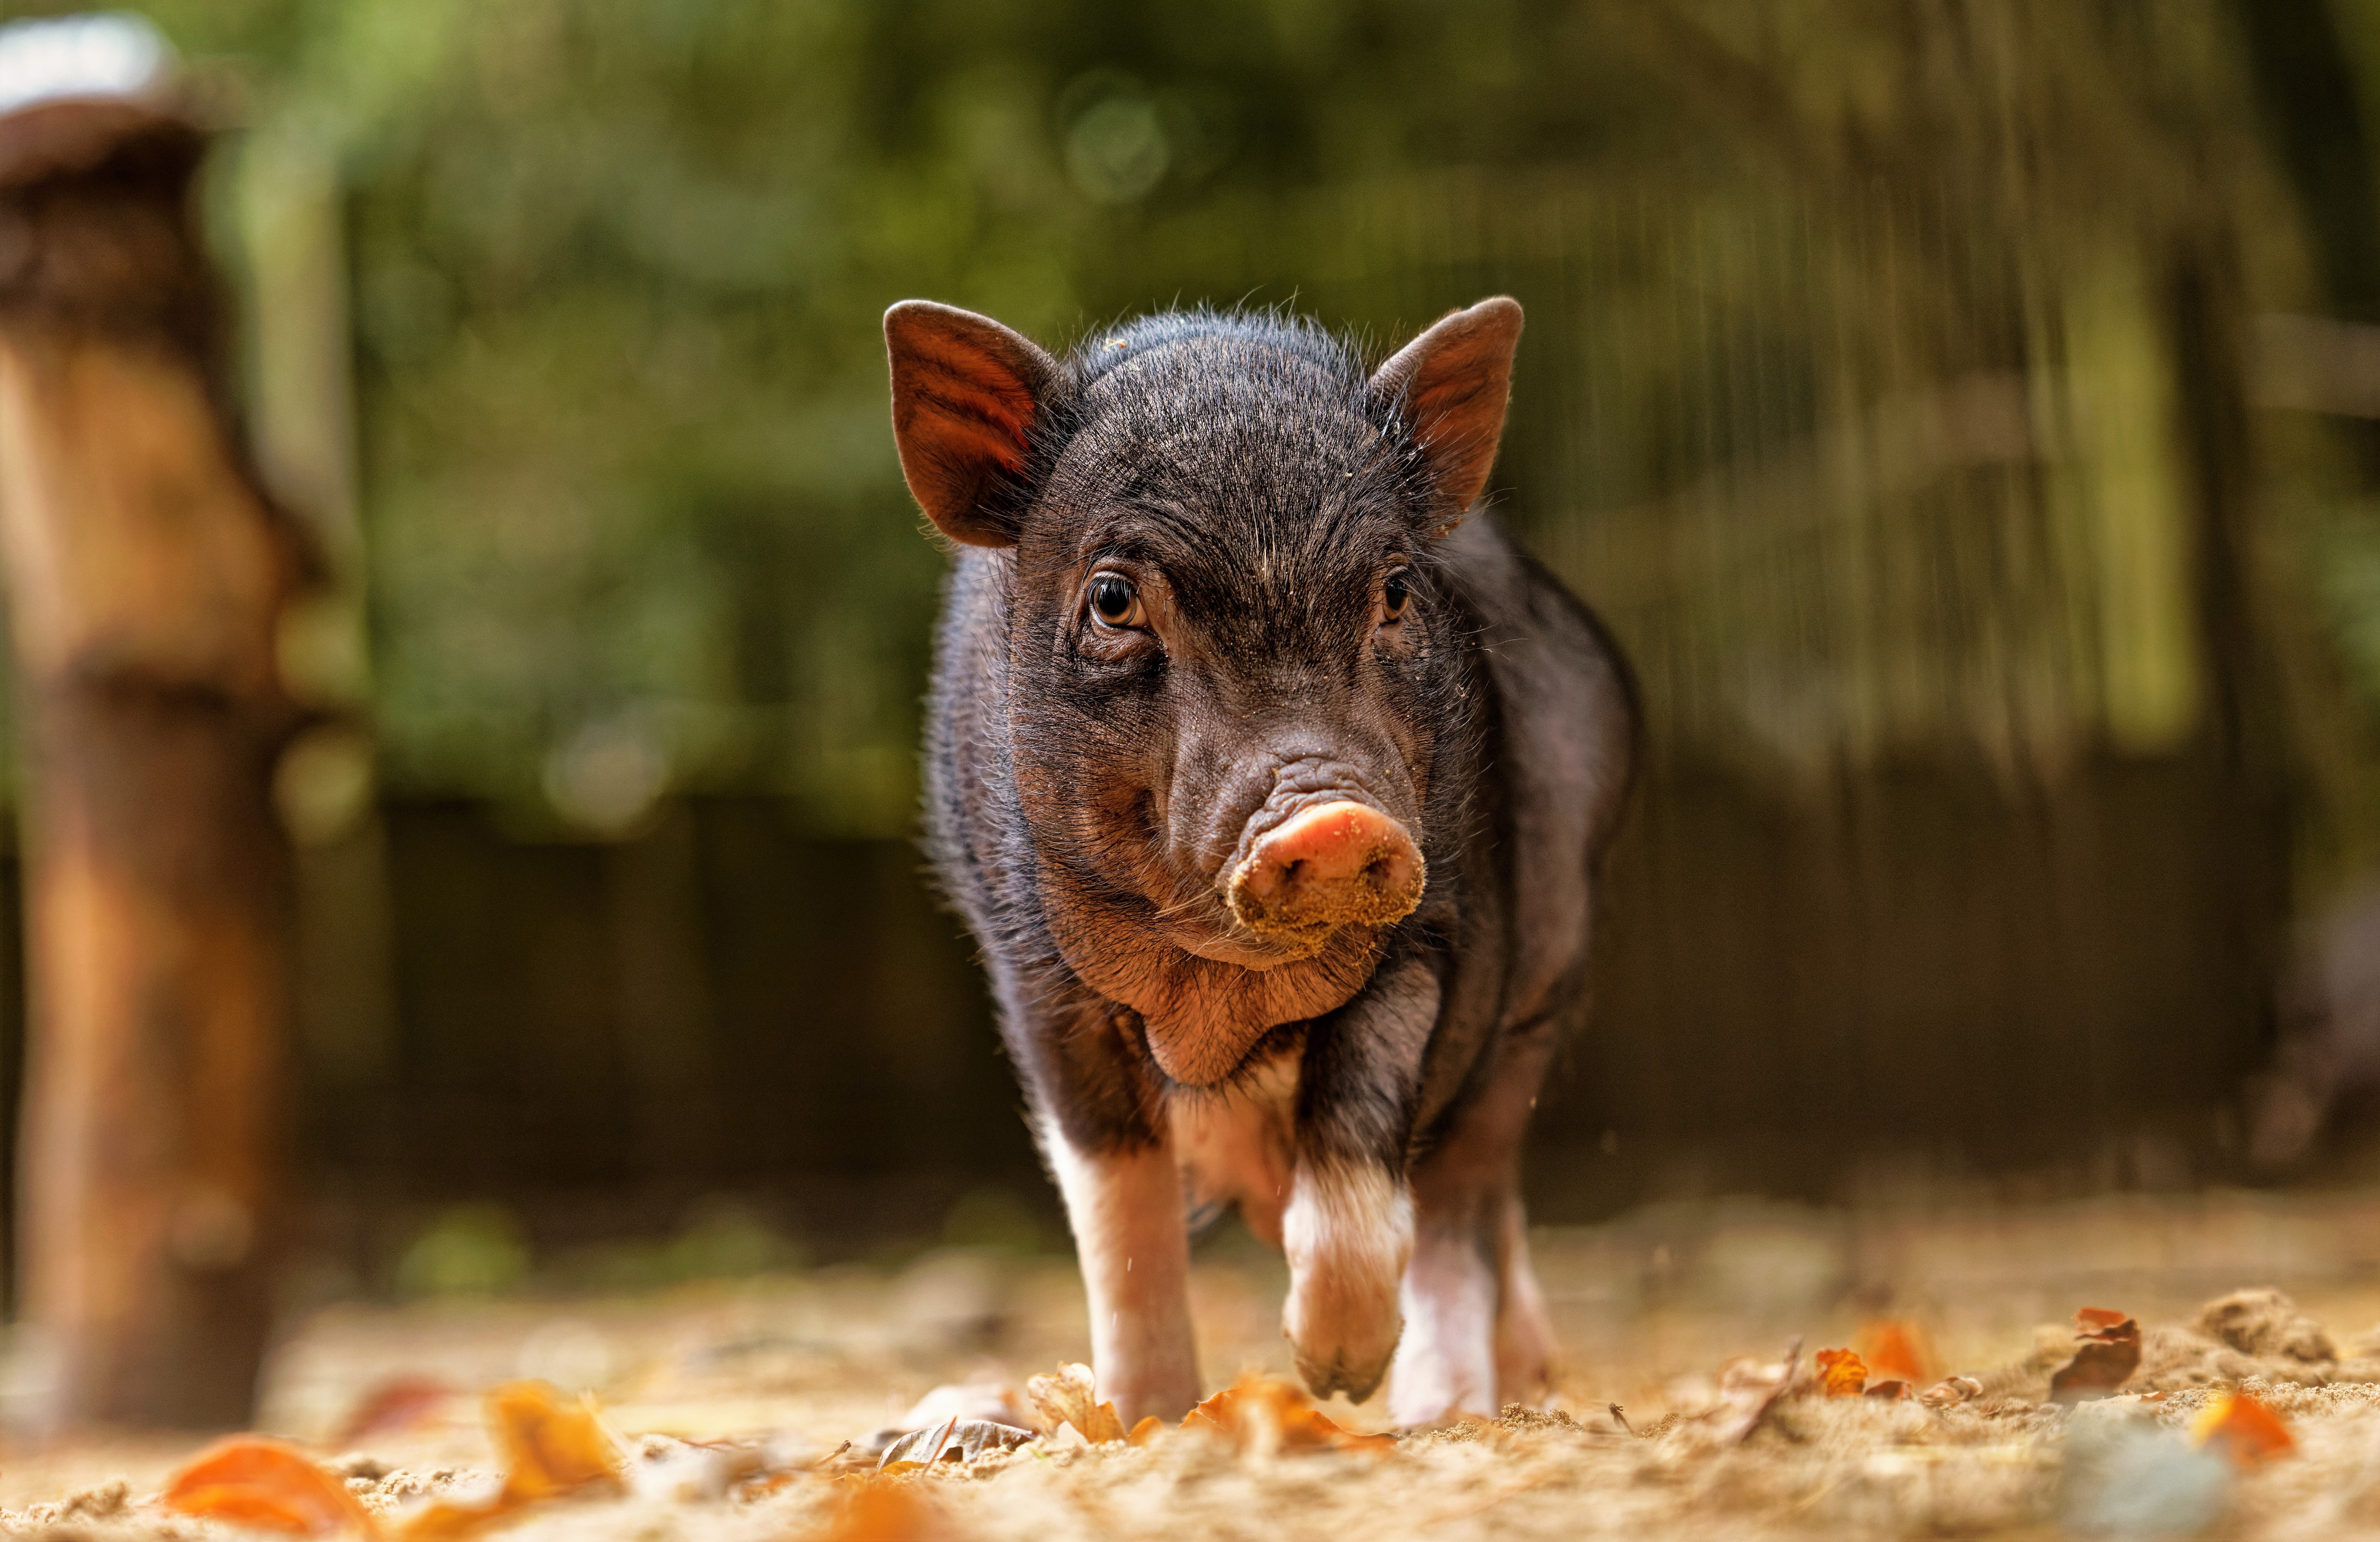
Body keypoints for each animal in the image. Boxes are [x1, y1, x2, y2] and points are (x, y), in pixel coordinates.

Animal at [884, 295, 1635, 1426]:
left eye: (1396, 590)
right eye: (1112, 600)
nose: (1330, 821)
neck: (1221, 994)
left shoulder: (1438, 932)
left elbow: (1360, 1123)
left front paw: (1334, 1375)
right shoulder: (1035, 979)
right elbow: (1120, 1213)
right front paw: (1149, 1420)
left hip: (1538, 994)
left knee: (1462, 1197)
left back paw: (1446, 1406)